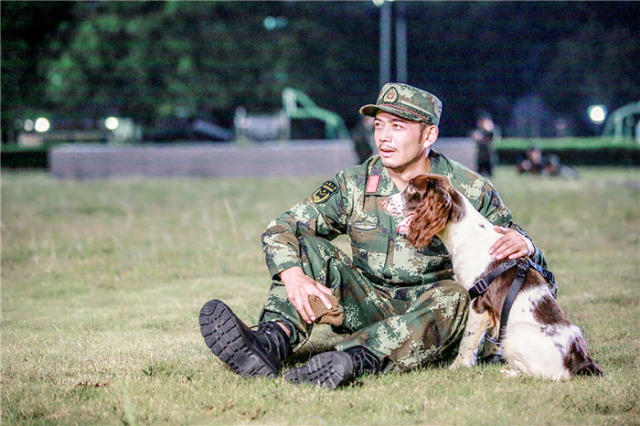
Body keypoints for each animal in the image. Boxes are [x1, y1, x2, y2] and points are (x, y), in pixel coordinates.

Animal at [382, 175, 604, 382]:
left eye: (411, 189)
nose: (383, 202)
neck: (465, 233)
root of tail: (582, 362)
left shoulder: (478, 302)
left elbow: (467, 341)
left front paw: (457, 367)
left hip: (513, 334)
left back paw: (509, 372)